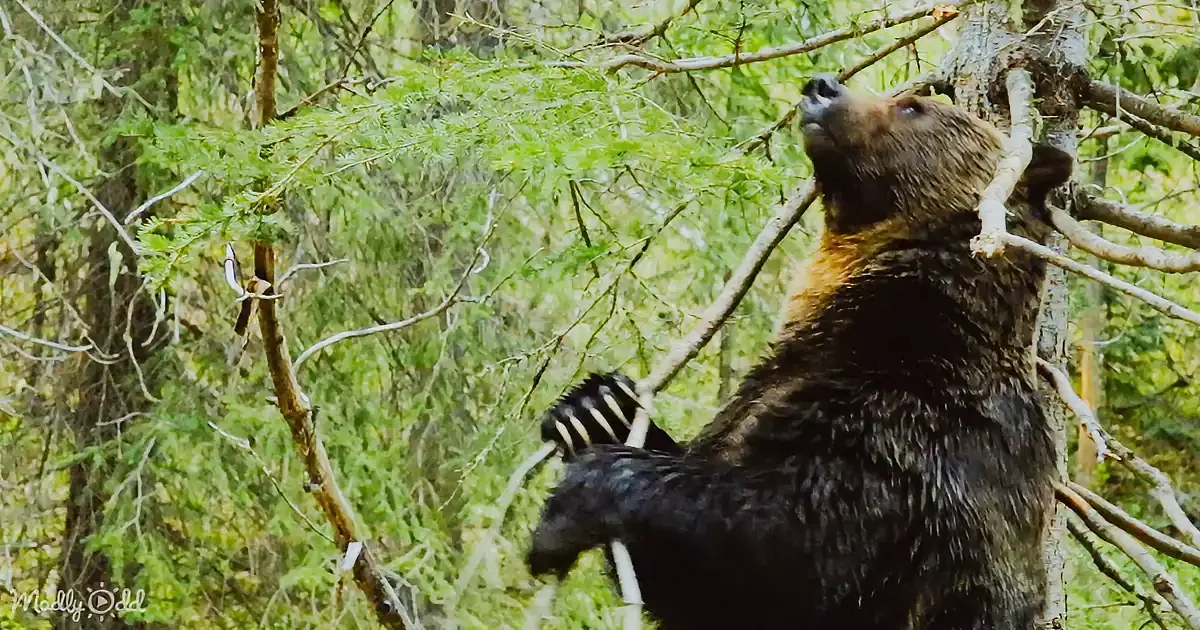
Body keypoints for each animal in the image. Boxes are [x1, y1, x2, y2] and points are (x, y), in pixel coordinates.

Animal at [526, 73, 1073, 630]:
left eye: (912, 107)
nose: (823, 85)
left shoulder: (915, 429)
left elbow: (793, 539)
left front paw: (575, 500)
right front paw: (595, 409)